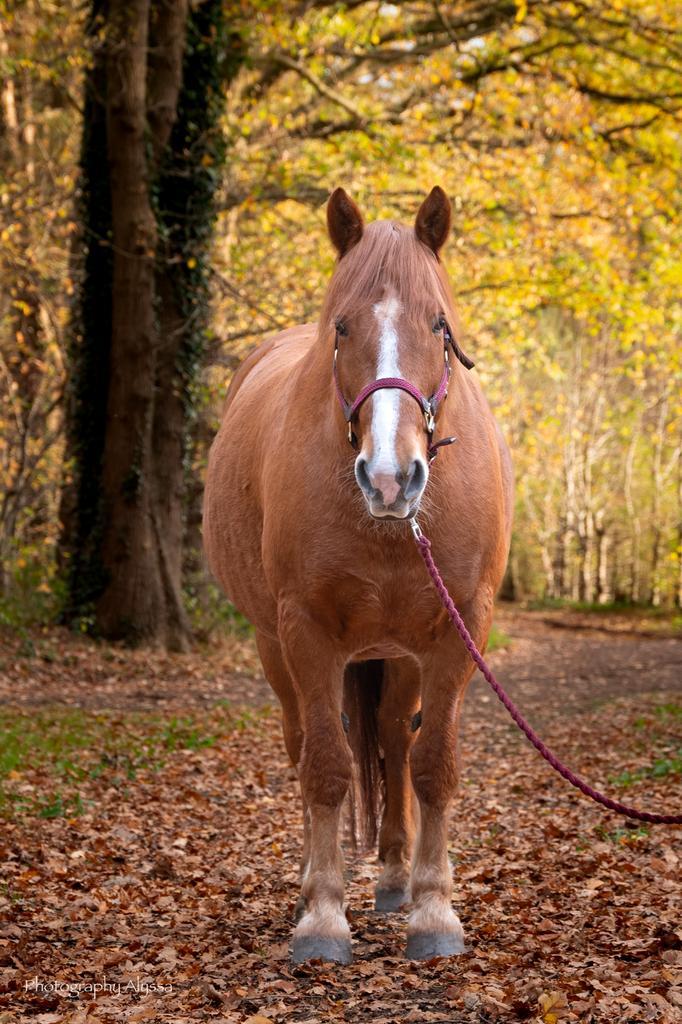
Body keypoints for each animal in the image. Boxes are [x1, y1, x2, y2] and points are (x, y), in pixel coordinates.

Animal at [203, 186, 513, 964]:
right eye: (341, 327)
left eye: (440, 325)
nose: (390, 477)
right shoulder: (305, 632)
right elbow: (326, 765)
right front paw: (321, 916)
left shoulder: (459, 630)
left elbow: (433, 762)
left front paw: (434, 911)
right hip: (275, 647)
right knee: (306, 744)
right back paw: (315, 882)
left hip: (397, 652)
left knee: (396, 744)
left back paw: (397, 879)